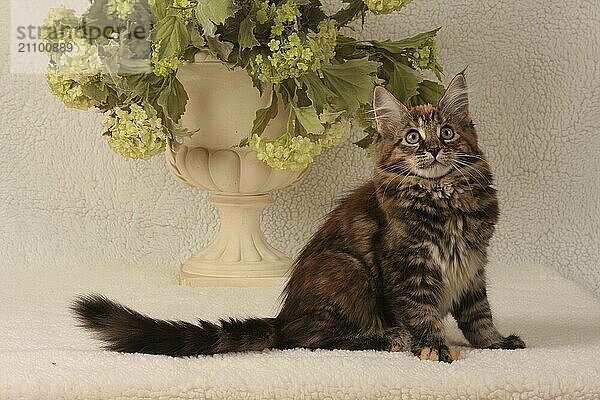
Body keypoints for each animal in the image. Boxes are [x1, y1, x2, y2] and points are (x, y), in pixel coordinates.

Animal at [74, 72, 524, 362]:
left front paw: (495, 343)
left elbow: (478, 313)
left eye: (446, 132)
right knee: (309, 338)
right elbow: (421, 311)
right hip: (347, 269)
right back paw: (387, 338)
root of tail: (284, 315)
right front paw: (433, 346)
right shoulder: (408, 264)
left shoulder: (472, 262)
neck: (446, 199)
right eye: (412, 137)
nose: (432, 149)